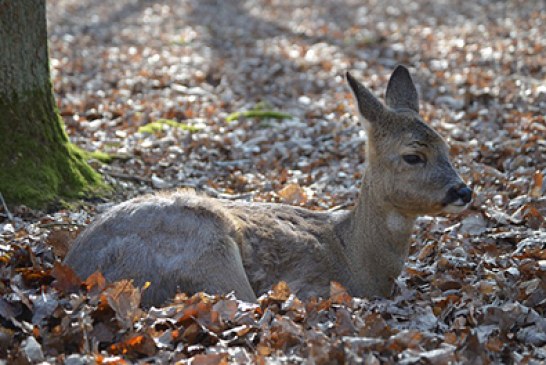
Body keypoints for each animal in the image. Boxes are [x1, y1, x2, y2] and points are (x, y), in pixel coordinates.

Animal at [65, 65, 472, 304]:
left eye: (448, 146)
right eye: (413, 156)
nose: (463, 191)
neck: (358, 259)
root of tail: (75, 266)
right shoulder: (310, 284)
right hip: (209, 254)